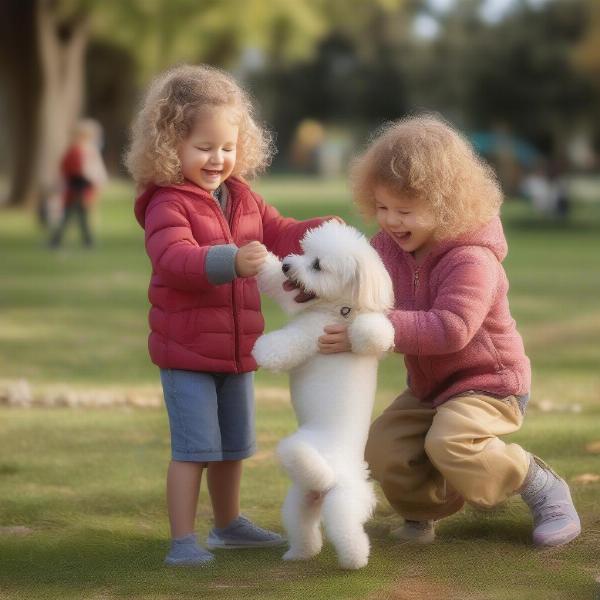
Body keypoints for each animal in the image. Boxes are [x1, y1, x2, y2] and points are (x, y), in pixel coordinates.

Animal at [252, 223, 396, 568]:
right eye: (305, 253)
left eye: (318, 265)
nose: (288, 266)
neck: (337, 310)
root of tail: (327, 479)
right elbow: (274, 283)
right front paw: (259, 257)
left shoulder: (308, 335)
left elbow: (281, 349)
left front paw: (261, 350)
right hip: (300, 500)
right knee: (305, 530)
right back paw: (298, 554)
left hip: (343, 504)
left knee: (348, 531)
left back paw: (355, 560)